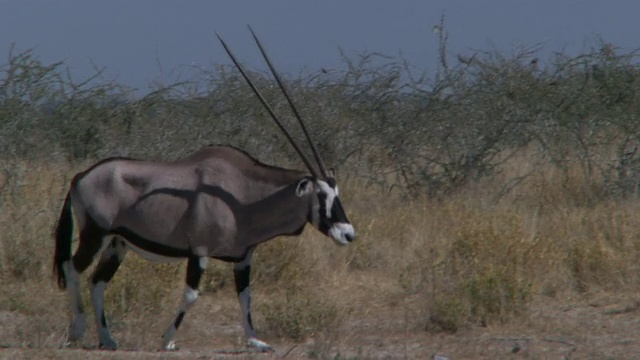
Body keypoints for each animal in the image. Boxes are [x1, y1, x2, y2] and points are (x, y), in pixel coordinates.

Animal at [53, 28, 356, 352]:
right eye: (322, 195)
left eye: (338, 193)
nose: (348, 234)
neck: (246, 196)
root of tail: (81, 176)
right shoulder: (199, 252)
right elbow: (191, 295)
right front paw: (168, 340)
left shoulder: (243, 258)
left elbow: (245, 296)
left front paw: (256, 341)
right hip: (95, 234)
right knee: (74, 269)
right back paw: (77, 331)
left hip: (117, 243)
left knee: (98, 281)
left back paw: (108, 339)